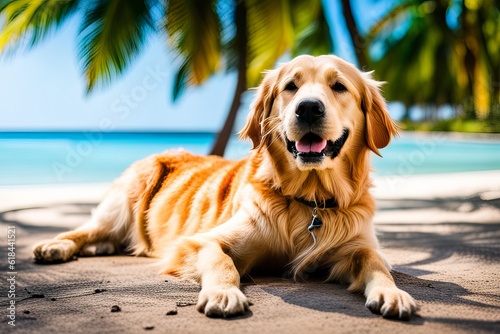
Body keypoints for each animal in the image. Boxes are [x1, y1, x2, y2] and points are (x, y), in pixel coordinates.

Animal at [33, 56, 418, 320]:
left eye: (338, 86)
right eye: (290, 87)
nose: (308, 108)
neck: (309, 201)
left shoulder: (355, 246)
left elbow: (375, 262)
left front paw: (392, 293)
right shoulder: (199, 241)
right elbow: (221, 260)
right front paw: (223, 294)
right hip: (123, 201)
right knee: (87, 228)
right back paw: (56, 246)